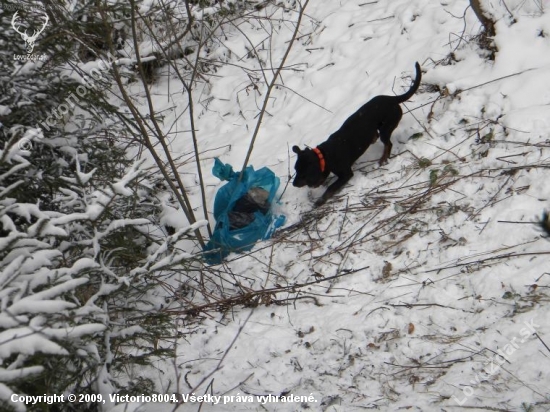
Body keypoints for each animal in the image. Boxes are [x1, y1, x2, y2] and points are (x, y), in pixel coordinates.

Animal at [294, 62, 422, 206]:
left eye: (302, 174)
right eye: (295, 170)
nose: (293, 184)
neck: (325, 155)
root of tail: (393, 99)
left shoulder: (346, 173)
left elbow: (331, 187)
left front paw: (321, 200)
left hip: (386, 128)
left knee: (388, 144)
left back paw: (383, 159)